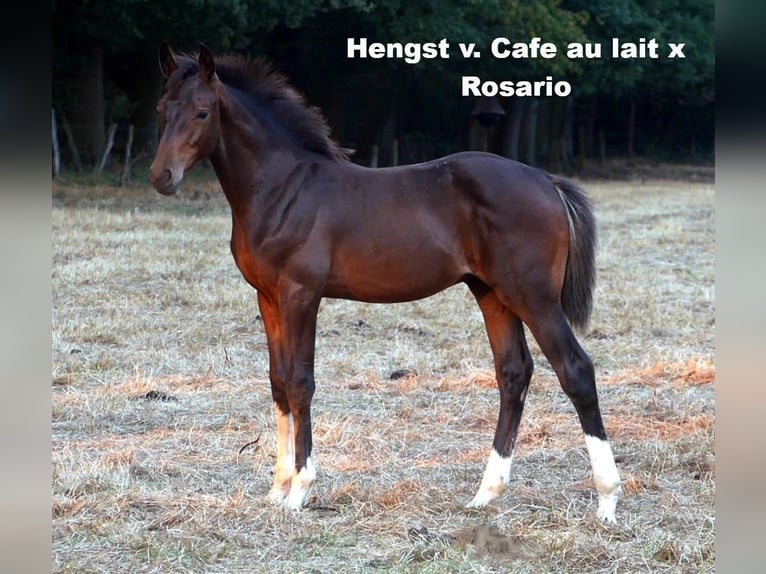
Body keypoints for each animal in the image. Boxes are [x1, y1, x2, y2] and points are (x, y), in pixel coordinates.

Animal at [149, 42, 622, 521]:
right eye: (161, 109)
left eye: (203, 112)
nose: (161, 177)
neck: (283, 188)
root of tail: (546, 180)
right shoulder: (267, 297)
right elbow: (278, 380)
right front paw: (277, 488)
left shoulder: (301, 294)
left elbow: (301, 382)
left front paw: (300, 489)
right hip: (492, 293)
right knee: (513, 373)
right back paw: (485, 493)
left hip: (534, 296)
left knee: (575, 369)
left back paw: (606, 500)